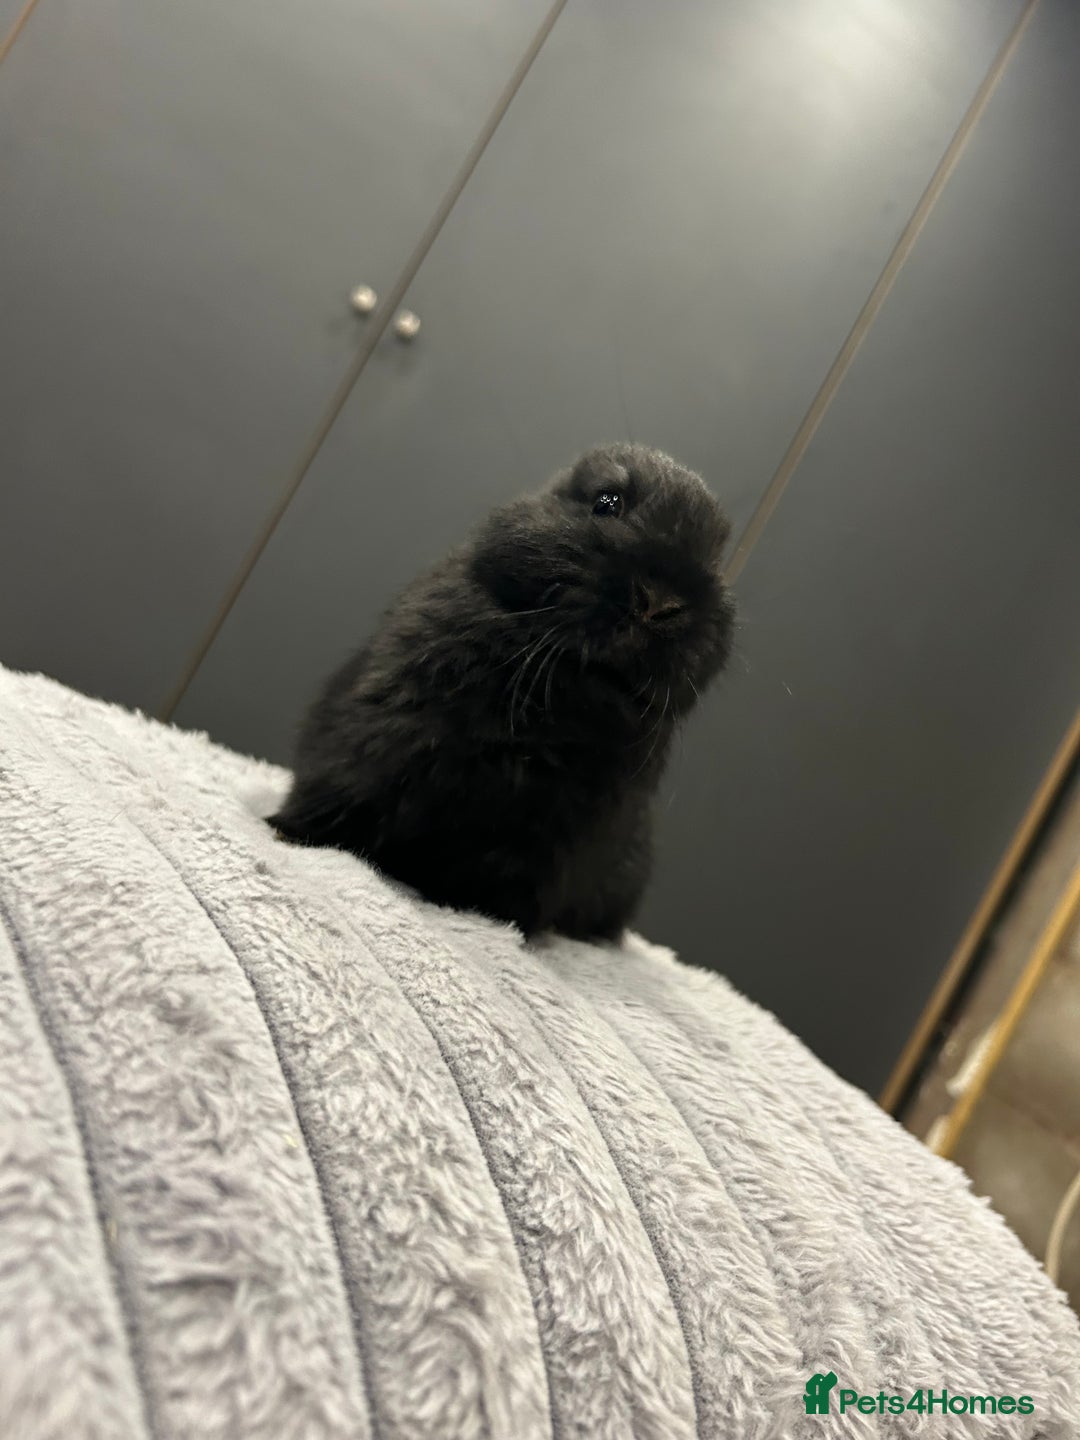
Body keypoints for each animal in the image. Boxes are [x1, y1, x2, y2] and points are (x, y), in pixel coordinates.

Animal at [269, 443, 736, 942]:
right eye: (607, 502)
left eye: (717, 557)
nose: (660, 603)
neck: (558, 690)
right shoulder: (376, 741)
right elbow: (341, 794)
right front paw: (287, 832)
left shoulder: (554, 836)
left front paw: (484, 918)